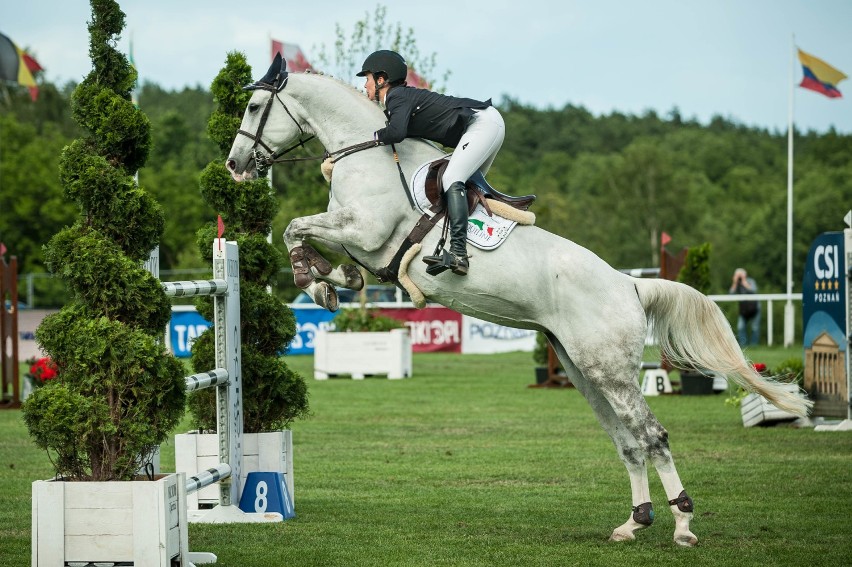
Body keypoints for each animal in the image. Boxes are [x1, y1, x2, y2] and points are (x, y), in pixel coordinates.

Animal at [223, 56, 808, 544]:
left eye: (252, 107)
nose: (235, 165)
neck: (367, 151)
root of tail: (629, 284)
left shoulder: (366, 231)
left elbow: (296, 226)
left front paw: (318, 280)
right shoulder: (361, 241)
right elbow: (308, 237)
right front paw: (331, 278)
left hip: (610, 369)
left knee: (652, 435)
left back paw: (683, 525)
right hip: (582, 368)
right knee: (628, 441)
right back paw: (633, 523)